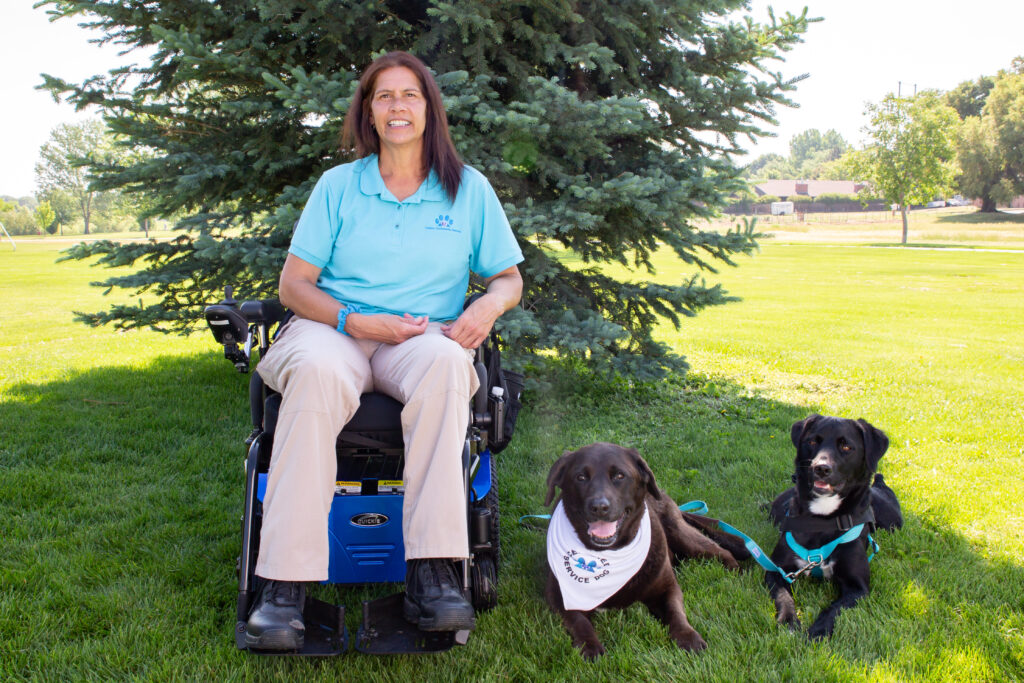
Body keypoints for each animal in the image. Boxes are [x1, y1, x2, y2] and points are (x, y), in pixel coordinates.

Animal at [544, 446, 745, 659]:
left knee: (720, 550)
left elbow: (675, 611)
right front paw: (590, 646)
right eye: (580, 477)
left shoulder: (667, 587)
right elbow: (579, 621)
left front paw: (688, 637)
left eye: (619, 475)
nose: (599, 507)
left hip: (681, 533)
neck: (610, 553)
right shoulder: (558, 595)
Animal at [770, 417, 905, 643]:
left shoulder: (857, 588)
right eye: (812, 441)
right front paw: (789, 622)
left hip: (893, 522)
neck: (822, 519)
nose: (821, 468)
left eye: (846, 446)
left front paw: (819, 630)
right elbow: (784, 597)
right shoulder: (777, 571)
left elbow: (835, 608)